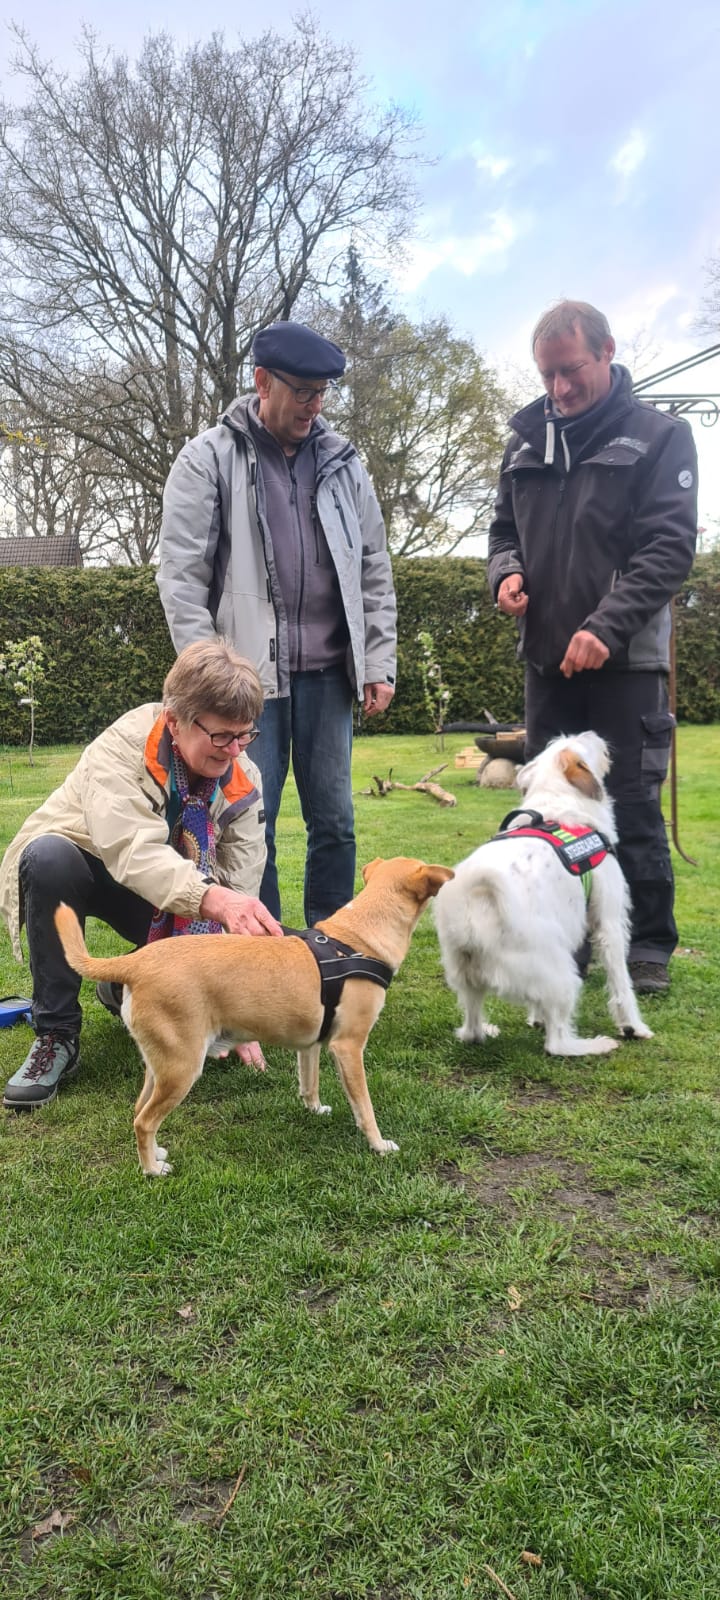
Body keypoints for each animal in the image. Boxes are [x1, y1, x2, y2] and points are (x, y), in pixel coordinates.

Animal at [54, 856, 453, 1176]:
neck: (355, 939)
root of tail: (137, 962)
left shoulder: (311, 1045)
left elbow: (309, 1082)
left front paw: (314, 1108)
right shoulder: (348, 1047)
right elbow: (364, 1107)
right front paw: (378, 1144)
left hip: (161, 1064)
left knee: (139, 1111)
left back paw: (156, 1155)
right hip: (183, 1067)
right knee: (143, 1121)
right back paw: (151, 1170)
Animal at [434, 731, 653, 1057]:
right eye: (580, 744)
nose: (592, 733)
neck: (556, 805)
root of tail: (476, 896)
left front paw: (536, 1019)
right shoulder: (609, 922)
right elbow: (620, 982)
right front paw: (633, 1027)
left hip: (465, 973)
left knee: (471, 1028)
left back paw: (484, 1030)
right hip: (562, 975)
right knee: (556, 1044)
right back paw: (594, 1045)